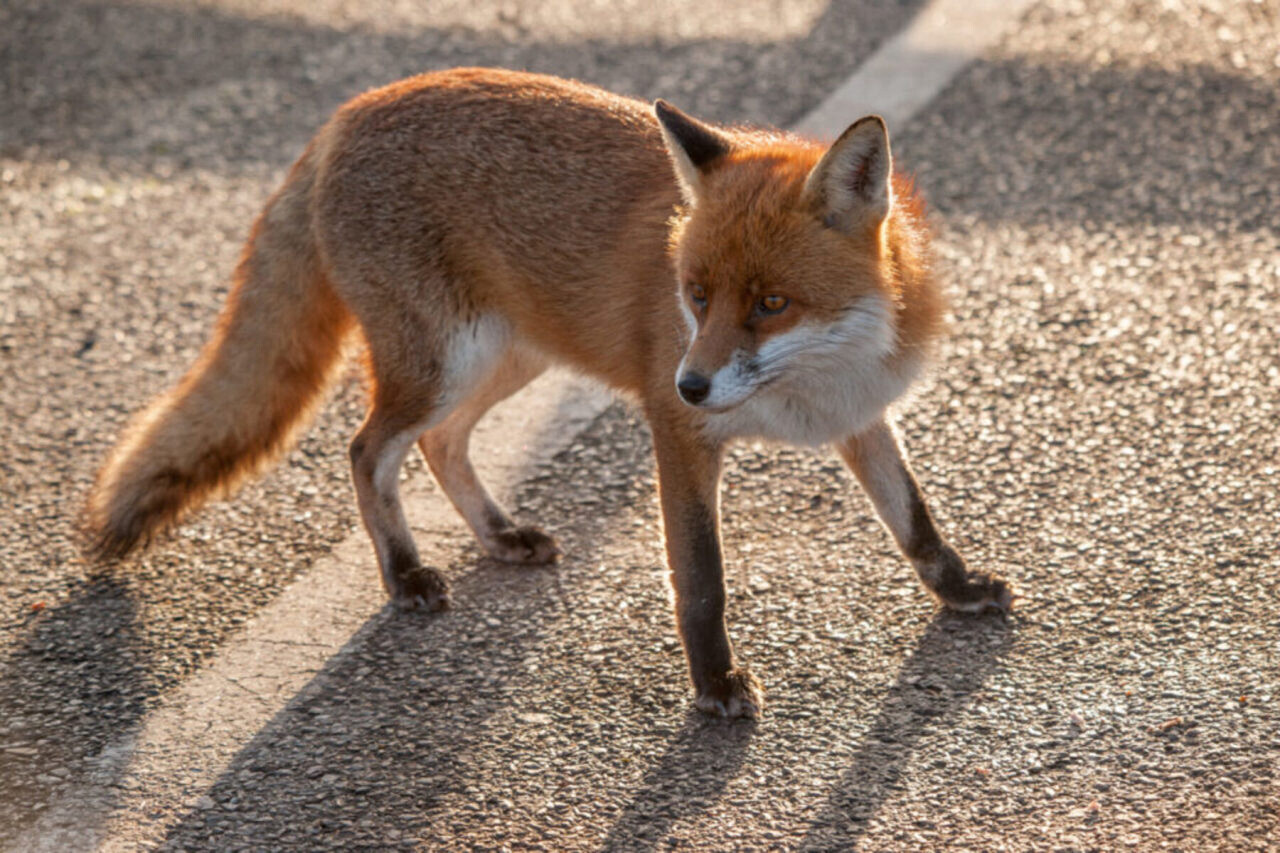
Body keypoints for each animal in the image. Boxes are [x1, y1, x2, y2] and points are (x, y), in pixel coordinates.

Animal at [87, 68, 1008, 717]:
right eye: (696, 294)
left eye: (771, 304)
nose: (691, 381)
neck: (819, 380)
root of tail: (351, 110)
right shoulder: (678, 436)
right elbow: (701, 580)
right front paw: (714, 685)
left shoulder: (863, 416)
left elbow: (916, 521)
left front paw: (958, 590)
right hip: (445, 363)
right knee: (366, 448)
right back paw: (405, 573)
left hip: (507, 359)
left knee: (441, 444)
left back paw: (499, 535)